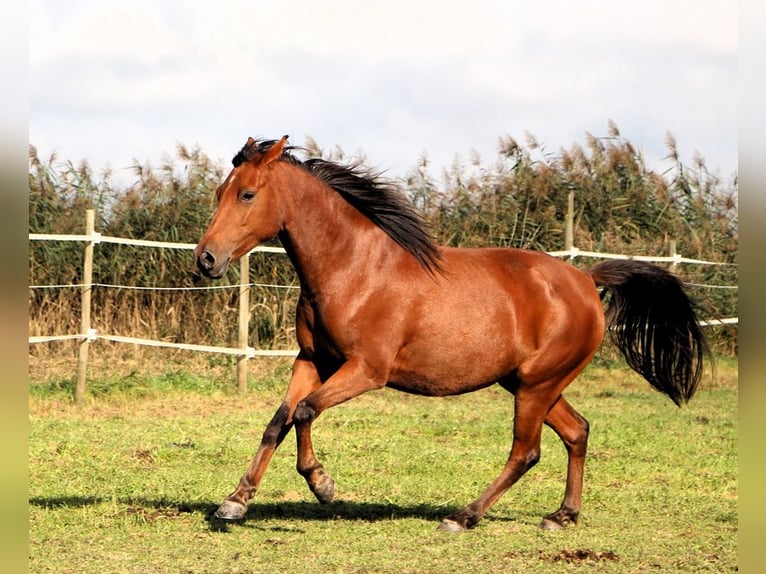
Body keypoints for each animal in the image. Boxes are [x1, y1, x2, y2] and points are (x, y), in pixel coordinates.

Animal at [195, 137, 712, 532]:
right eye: (220, 191)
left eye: (247, 194)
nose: (206, 259)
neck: (352, 267)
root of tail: (586, 279)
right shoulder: (312, 359)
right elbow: (278, 422)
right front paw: (235, 502)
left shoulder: (366, 370)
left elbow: (304, 412)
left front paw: (323, 485)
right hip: (530, 383)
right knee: (577, 431)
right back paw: (561, 516)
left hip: (537, 384)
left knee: (526, 451)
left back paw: (464, 516)